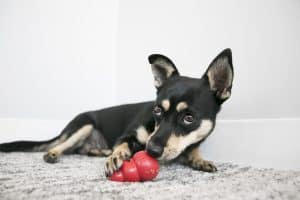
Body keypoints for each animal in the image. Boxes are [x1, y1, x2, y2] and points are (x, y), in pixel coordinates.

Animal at [0, 48, 234, 177]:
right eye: (157, 110)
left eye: (189, 118)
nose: (151, 150)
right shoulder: (127, 135)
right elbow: (122, 145)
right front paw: (116, 156)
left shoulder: (191, 141)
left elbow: (192, 149)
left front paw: (199, 159)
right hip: (84, 124)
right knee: (61, 145)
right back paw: (55, 153)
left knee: (82, 150)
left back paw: (99, 151)